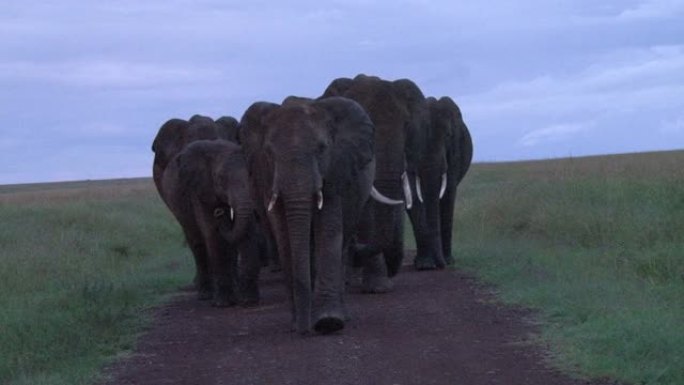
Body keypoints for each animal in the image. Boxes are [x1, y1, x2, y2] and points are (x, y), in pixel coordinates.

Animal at [162, 139, 264, 306]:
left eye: (251, 175)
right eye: (220, 179)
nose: (220, 213)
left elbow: (247, 231)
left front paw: (249, 301)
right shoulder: (199, 191)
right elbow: (212, 233)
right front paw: (224, 303)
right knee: (197, 242)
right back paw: (206, 295)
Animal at [239, 96, 396, 332]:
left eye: (322, 149)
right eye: (268, 153)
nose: (304, 330)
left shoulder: (334, 171)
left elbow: (328, 231)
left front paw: (328, 322)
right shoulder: (266, 178)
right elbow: (284, 237)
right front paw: (299, 323)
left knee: (341, 245)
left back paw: (340, 316)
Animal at [322, 74, 428, 292]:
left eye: (407, 125)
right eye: (368, 128)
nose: (356, 249)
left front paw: (379, 287)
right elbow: (365, 213)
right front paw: (377, 288)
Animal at [408, 96, 472, 268]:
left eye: (448, 135)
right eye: (413, 137)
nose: (441, 264)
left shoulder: (455, 149)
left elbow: (448, 192)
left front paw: (448, 261)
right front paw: (425, 265)